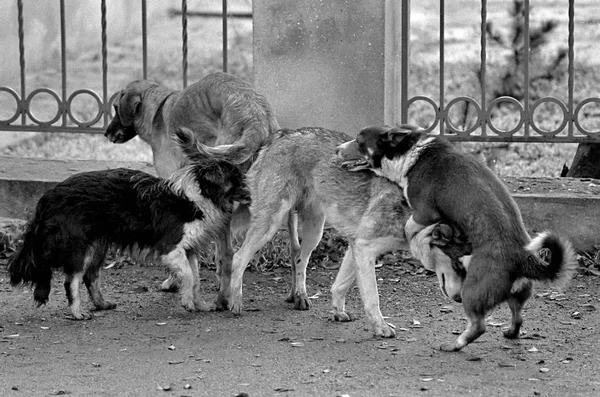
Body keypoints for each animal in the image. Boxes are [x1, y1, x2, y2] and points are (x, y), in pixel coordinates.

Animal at [7, 128, 246, 320]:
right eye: (236, 181)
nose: (250, 196)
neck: (197, 195)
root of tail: (46, 199)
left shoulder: (189, 250)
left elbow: (195, 279)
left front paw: (199, 304)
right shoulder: (171, 248)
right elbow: (188, 276)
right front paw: (188, 302)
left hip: (98, 246)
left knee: (91, 277)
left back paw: (101, 304)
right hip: (80, 248)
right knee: (72, 280)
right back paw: (77, 312)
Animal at [338, 124, 576, 350]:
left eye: (359, 142)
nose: (337, 149)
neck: (410, 153)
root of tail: (522, 259)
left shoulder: (424, 212)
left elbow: (409, 226)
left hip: (471, 292)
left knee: (478, 326)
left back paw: (453, 345)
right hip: (518, 294)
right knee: (518, 316)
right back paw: (510, 332)